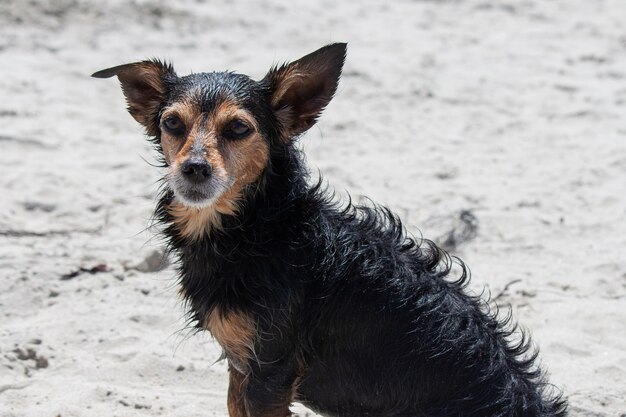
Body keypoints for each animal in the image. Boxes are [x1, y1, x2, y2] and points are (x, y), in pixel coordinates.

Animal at [92, 43, 564, 416]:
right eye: (172, 123)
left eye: (239, 128)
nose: (193, 169)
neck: (259, 228)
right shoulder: (242, 367)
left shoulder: (269, 371)